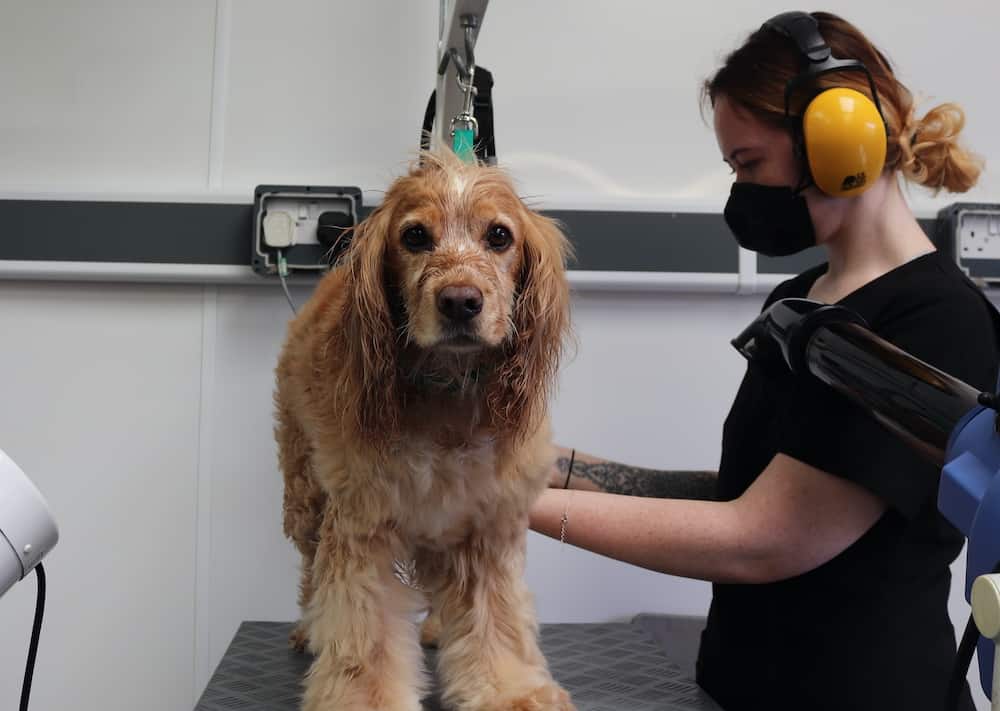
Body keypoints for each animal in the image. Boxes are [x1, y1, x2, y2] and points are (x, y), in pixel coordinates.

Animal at [274, 152, 576, 711]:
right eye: (414, 236)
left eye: (499, 235)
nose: (460, 301)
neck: (447, 388)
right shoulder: (362, 523)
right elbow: (361, 628)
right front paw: (363, 699)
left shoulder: (486, 524)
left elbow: (495, 621)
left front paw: (508, 690)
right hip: (305, 496)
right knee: (310, 572)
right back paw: (308, 629)